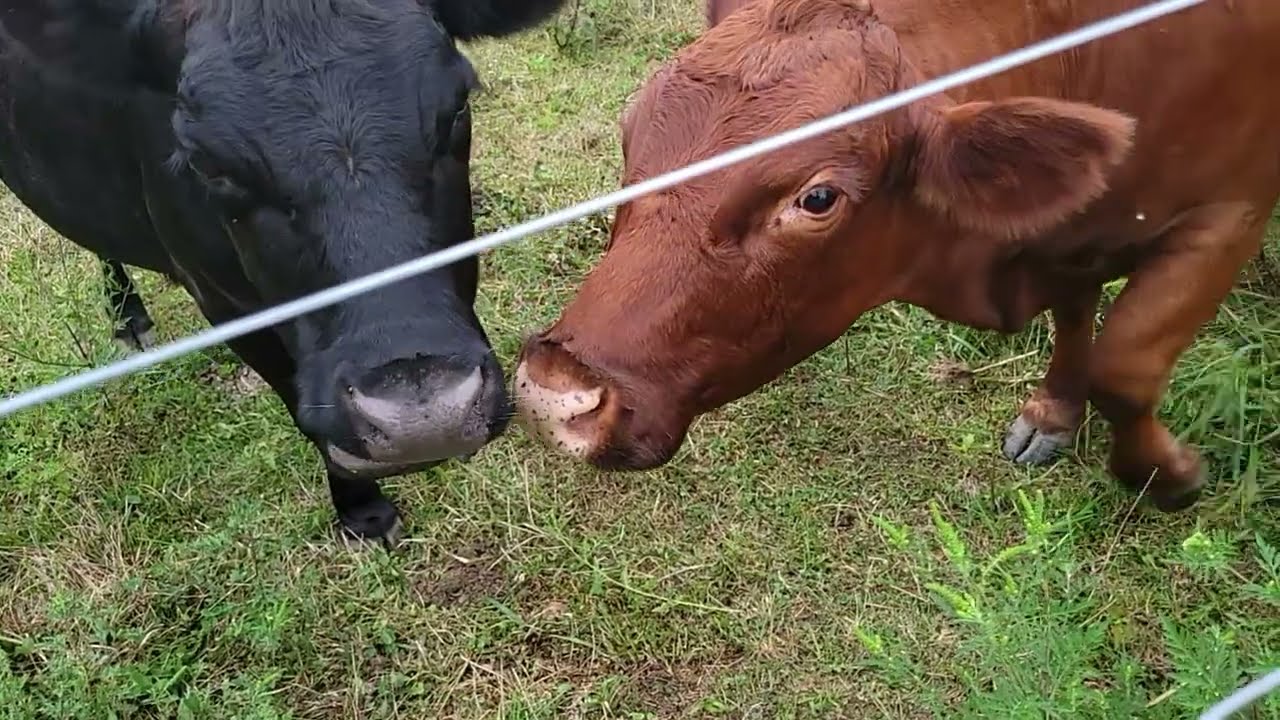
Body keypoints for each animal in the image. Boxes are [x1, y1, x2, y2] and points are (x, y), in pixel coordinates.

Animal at [0, 0, 567, 545]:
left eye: (457, 107)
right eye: (208, 164)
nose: (421, 418)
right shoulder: (222, 301)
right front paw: (362, 510)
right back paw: (127, 317)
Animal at [512, 0, 1280, 513]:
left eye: (817, 198)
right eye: (630, 127)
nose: (555, 394)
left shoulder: (1231, 210)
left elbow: (1124, 369)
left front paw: (1170, 477)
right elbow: (1076, 319)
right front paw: (1054, 413)